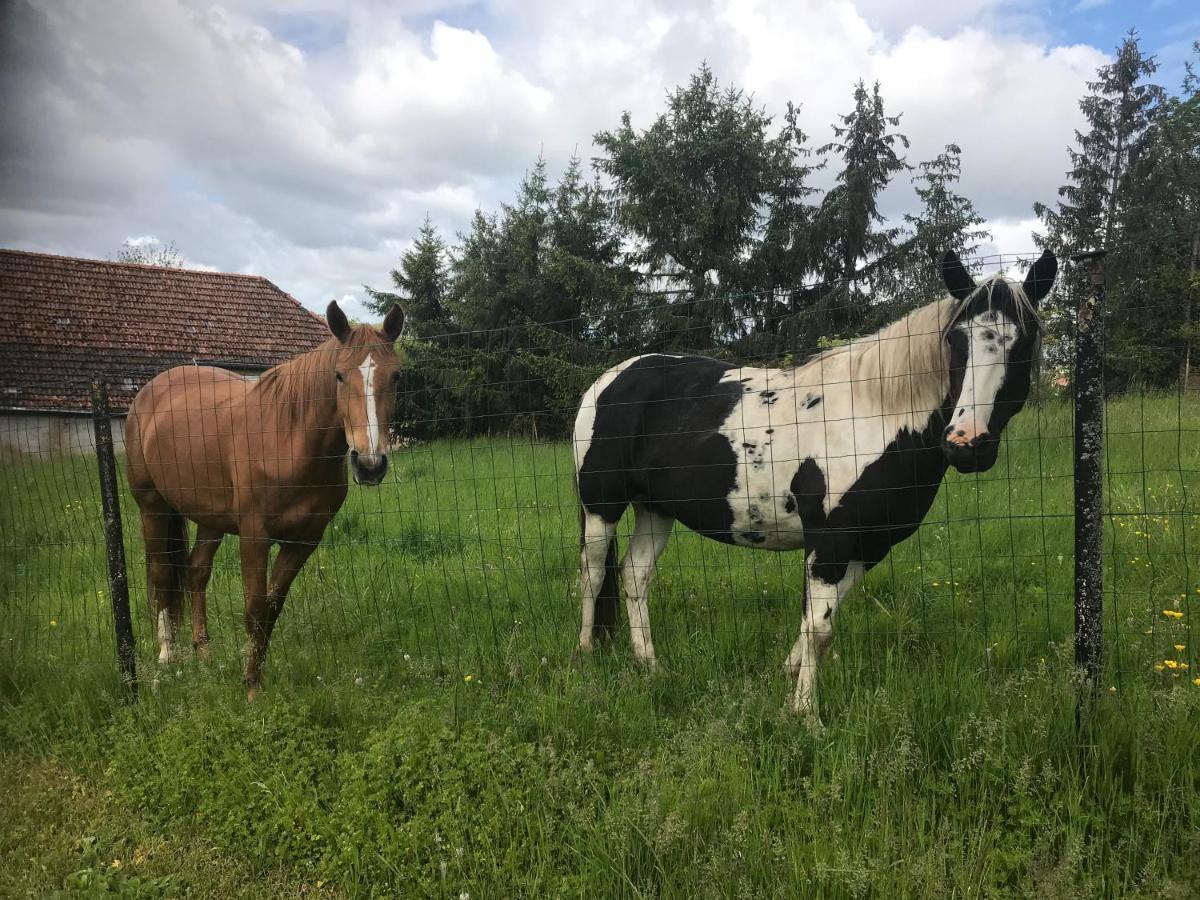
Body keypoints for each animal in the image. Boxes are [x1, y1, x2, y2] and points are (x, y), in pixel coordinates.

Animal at [128, 303, 403, 696]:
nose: (369, 464)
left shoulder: (303, 542)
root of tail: (146, 393)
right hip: (153, 507)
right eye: (338, 376)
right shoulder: (254, 537)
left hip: (210, 518)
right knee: (162, 573)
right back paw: (168, 657)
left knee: (197, 571)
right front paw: (251, 689)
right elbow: (255, 609)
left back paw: (204, 653)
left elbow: (272, 608)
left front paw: (252, 676)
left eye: (396, 377)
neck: (287, 438)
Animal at [576, 250, 1056, 715]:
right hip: (602, 505)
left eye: (1025, 341)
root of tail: (609, 380)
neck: (875, 418)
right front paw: (807, 714)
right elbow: (820, 630)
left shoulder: (867, 546)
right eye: (956, 340)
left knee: (635, 576)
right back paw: (586, 655)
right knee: (593, 572)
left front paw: (788, 677)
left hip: (656, 509)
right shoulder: (831, 542)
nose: (966, 444)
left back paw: (651, 666)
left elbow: (817, 621)